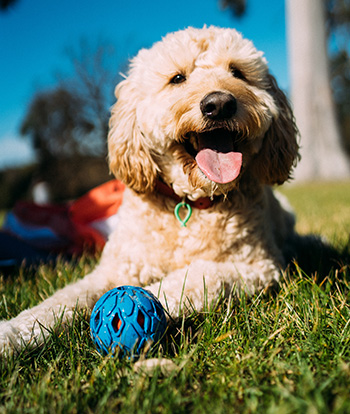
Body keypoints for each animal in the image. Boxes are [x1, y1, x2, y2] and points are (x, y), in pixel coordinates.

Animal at [1, 26, 300, 356]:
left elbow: (190, 279)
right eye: (177, 78)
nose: (219, 104)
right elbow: (62, 300)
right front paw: (12, 333)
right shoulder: (114, 269)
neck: (189, 203)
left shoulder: (257, 266)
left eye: (237, 72)